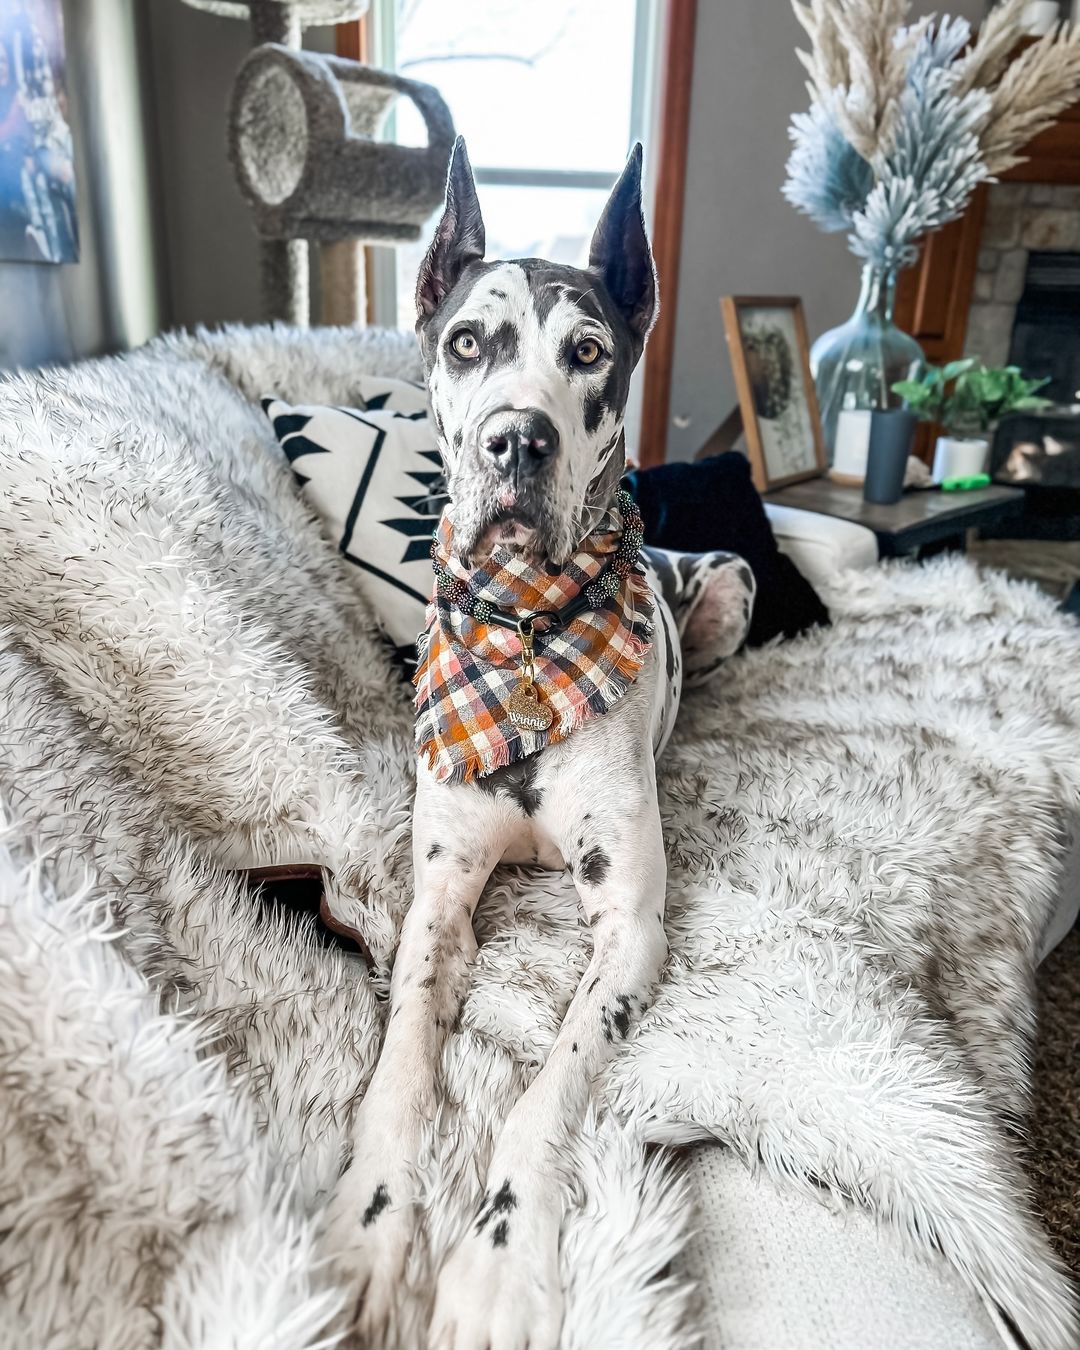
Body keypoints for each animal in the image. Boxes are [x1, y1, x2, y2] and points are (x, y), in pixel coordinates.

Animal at [325, 137, 702, 1350]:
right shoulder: (439, 901)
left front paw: (496, 1265)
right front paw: (369, 1230)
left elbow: (547, 1094)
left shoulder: (629, 930)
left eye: (587, 351)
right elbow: (401, 1066)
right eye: (466, 344)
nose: (516, 439)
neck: (532, 629)